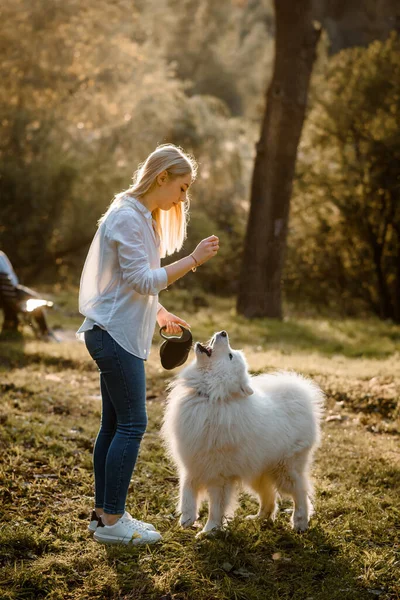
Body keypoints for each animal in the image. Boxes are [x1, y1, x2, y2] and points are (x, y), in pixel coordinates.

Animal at [161, 332, 324, 536]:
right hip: (257, 472)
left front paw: (209, 531)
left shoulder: (219, 475)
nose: (223, 332)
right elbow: (187, 490)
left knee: (300, 493)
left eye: (230, 355)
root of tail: (302, 395)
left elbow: (216, 507)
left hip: (285, 470)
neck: (209, 396)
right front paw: (187, 518)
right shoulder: (192, 464)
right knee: (269, 497)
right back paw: (259, 518)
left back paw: (300, 522)